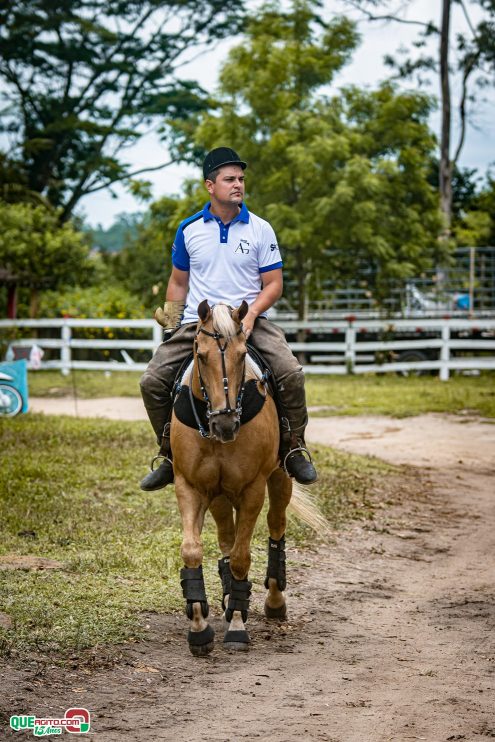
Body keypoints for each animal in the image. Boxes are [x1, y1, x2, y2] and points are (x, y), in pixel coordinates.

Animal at [170, 300, 318, 652]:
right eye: (200, 354)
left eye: (240, 355)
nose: (225, 424)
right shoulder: (190, 486)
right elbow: (193, 549)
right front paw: (199, 626)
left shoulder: (252, 490)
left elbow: (241, 557)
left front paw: (237, 625)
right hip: (219, 494)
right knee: (226, 535)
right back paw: (227, 596)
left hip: (279, 478)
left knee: (276, 525)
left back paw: (274, 601)